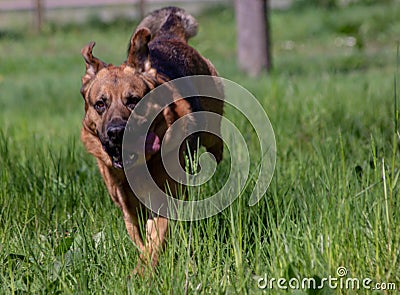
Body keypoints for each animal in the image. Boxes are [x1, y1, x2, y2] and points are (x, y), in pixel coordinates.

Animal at [78, 6, 222, 272]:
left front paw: (142, 272)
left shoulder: (163, 199)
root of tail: (169, 36)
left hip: (212, 129)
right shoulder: (127, 208)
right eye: (100, 104)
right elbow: (139, 239)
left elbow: (154, 241)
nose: (116, 131)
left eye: (133, 100)